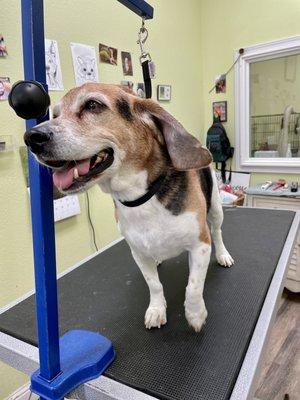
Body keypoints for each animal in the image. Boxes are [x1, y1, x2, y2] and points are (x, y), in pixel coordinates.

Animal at [24, 83, 234, 332]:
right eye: (54, 115)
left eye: (92, 105)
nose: (32, 137)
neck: (141, 197)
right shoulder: (138, 253)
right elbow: (154, 285)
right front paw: (157, 310)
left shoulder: (199, 245)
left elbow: (193, 286)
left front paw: (195, 314)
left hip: (215, 209)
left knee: (218, 232)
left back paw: (222, 254)